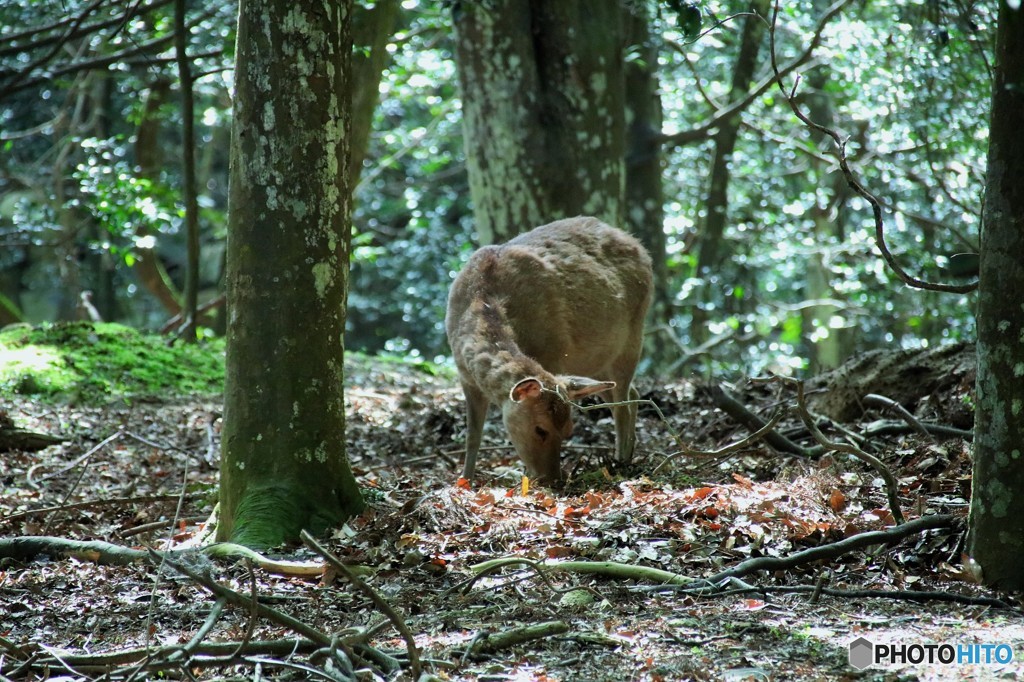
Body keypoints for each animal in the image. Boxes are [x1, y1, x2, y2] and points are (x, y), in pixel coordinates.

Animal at [444, 215, 651, 481]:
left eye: (568, 430)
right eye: (540, 429)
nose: (553, 480)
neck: (483, 299)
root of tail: (640, 247)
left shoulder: (555, 354)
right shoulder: (465, 377)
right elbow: (472, 436)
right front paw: (465, 480)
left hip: (634, 334)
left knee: (623, 402)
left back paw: (621, 461)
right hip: (595, 363)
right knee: (627, 395)